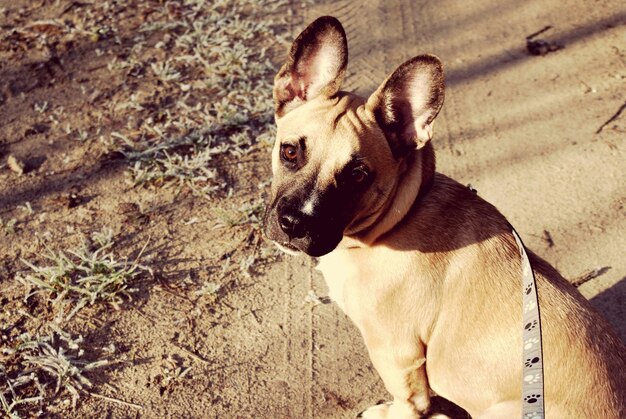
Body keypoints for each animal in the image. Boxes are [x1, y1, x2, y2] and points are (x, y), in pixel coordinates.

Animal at [262, 16, 624, 419]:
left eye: (357, 176)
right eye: (289, 151)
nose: (295, 222)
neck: (399, 217)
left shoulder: (397, 352)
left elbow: (410, 402)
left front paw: (391, 412)